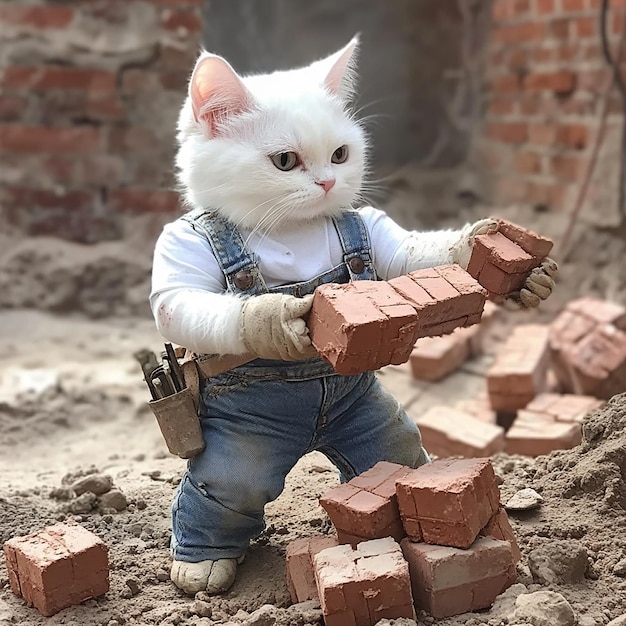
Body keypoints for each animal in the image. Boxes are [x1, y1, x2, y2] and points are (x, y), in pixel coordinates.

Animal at [151, 36, 556, 592]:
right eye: (284, 161)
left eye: (340, 155)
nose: (326, 183)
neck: (289, 228)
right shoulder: (182, 246)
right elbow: (178, 303)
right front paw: (272, 321)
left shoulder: (376, 232)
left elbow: (407, 253)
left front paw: (489, 251)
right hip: (244, 441)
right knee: (230, 486)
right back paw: (201, 564)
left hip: (366, 417)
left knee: (394, 449)